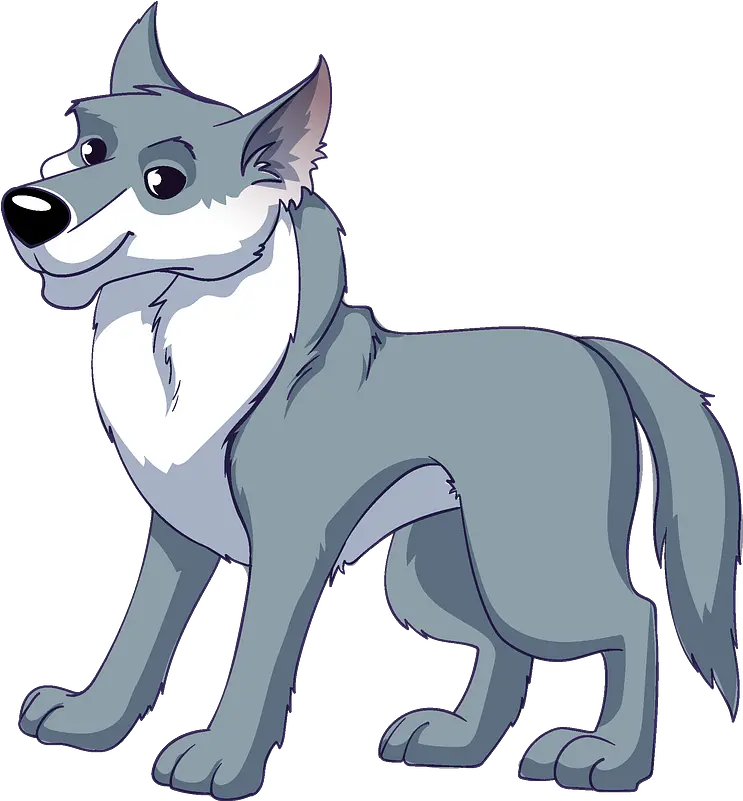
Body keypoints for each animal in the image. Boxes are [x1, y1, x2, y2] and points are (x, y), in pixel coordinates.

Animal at [6, 4, 740, 799]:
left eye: (163, 180)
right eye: (88, 147)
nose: (27, 210)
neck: (169, 330)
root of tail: (597, 351)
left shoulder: (289, 549)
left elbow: (255, 657)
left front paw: (221, 761)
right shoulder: (176, 541)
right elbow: (137, 639)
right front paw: (91, 722)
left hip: (526, 566)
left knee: (633, 618)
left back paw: (606, 757)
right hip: (434, 575)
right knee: (504, 649)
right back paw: (456, 743)